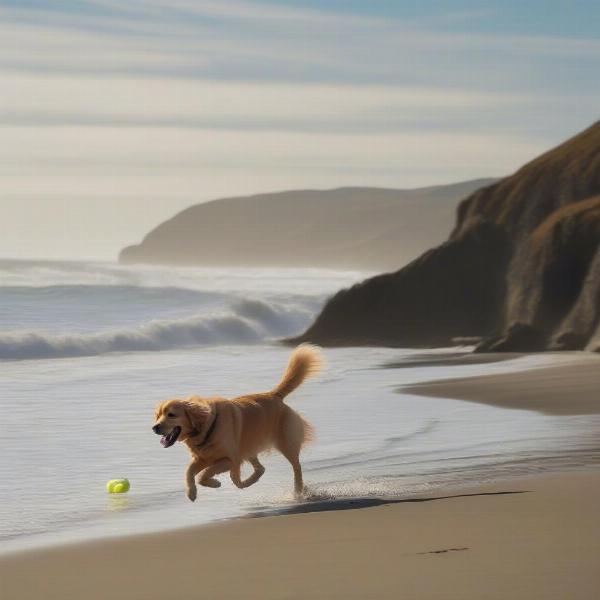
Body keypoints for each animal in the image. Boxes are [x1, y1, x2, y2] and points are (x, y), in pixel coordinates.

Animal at [152, 342, 322, 502]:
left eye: (171, 415)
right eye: (158, 415)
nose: (154, 427)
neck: (206, 427)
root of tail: (274, 395)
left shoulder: (228, 459)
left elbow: (202, 475)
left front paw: (214, 483)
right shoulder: (203, 458)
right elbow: (188, 471)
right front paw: (191, 492)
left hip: (286, 443)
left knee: (296, 467)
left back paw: (298, 492)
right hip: (248, 446)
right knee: (256, 471)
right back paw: (249, 481)